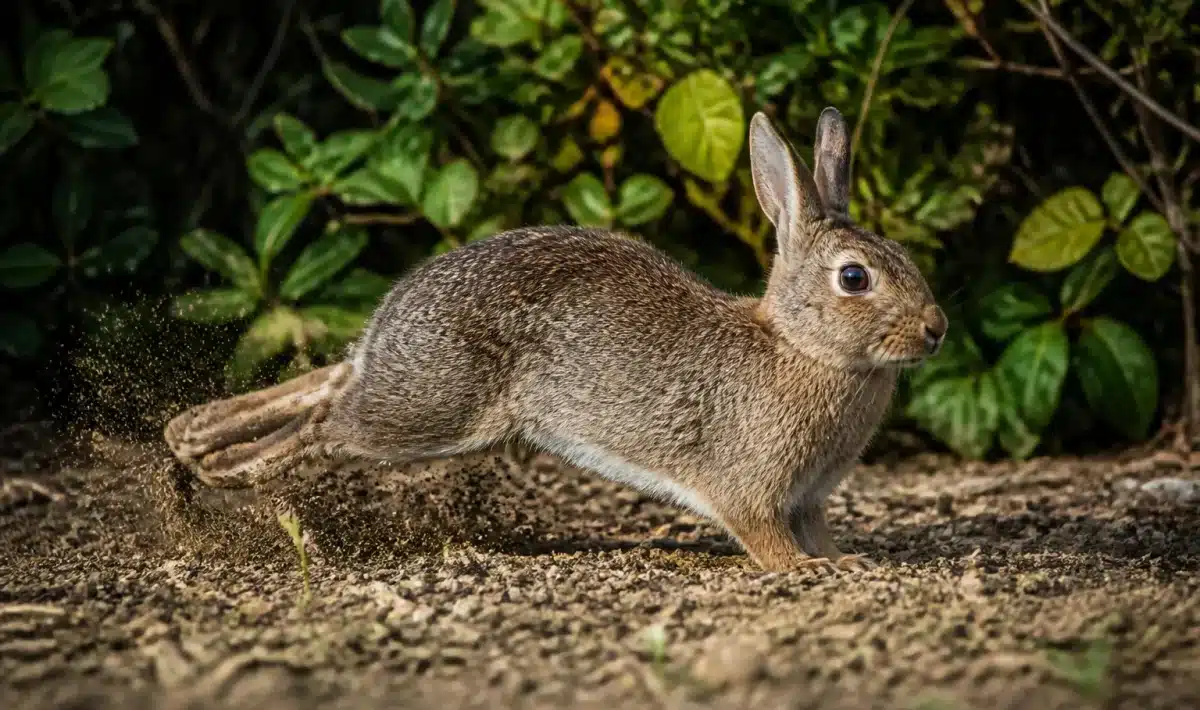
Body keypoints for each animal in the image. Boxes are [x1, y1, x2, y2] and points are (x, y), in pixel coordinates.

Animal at [164, 107, 948, 573]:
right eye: (854, 278)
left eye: (905, 257)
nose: (935, 329)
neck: (803, 346)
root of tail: (392, 313)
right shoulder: (751, 493)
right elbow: (768, 542)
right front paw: (816, 570)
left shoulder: (810, 499)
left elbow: (820, 531)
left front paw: (845, 560)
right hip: (428, 413)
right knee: (326, 425)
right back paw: (216, 469)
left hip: (405, 390)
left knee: (327, 382)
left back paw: (189, 438)